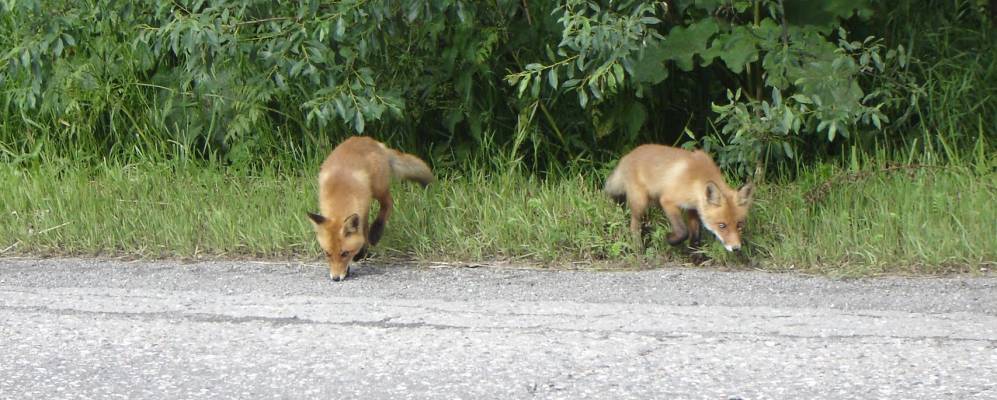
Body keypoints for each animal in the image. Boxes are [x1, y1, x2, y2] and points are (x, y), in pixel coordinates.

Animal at [308, 138, 432, 282]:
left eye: (345, 253)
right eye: (327, 253)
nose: (336, 278)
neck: (340, 195)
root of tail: (371, 141)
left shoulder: (364, 207)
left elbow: (363, 233)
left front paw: (361, 252)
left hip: (378, 189)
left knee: (388, 203)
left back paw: (376, 231)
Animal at [600, 145, 756, 253]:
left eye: (739, 225)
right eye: (722, 225)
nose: (736, 248)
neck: (695, 179)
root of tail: (627, 155)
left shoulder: (693, 209)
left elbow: (695, 235)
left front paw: (696, 256)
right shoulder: (668, 200)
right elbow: (683, 231)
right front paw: (670, 239)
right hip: (641, 202)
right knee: (634, 225)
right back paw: (639, 248)